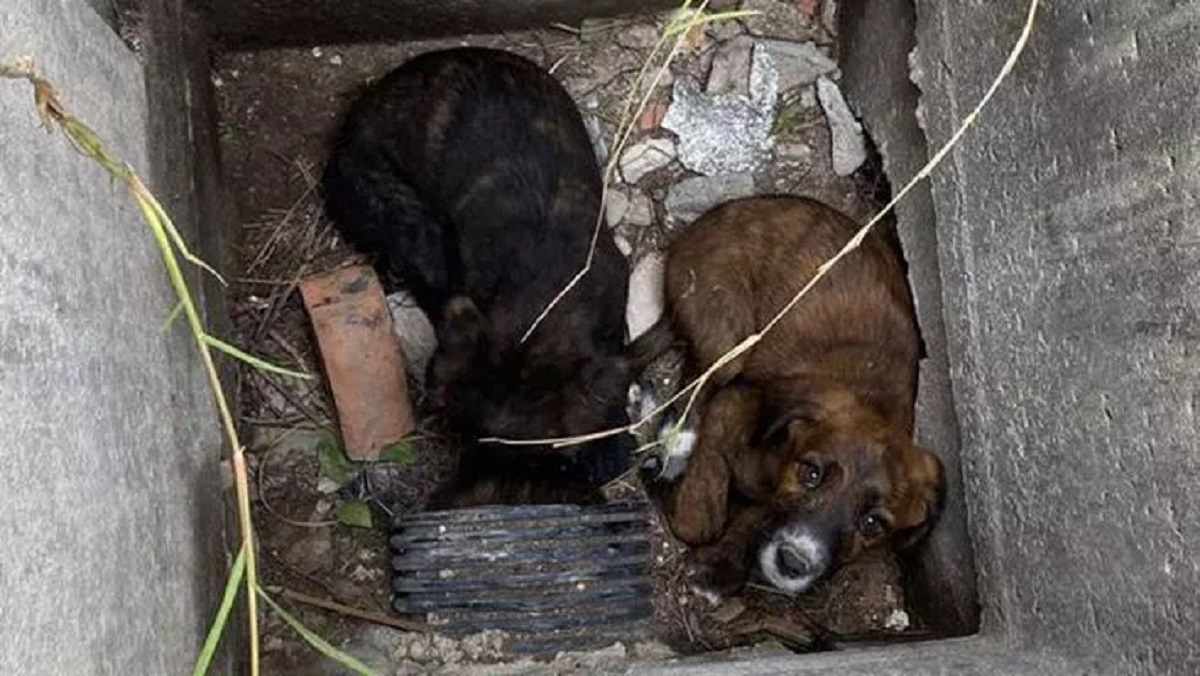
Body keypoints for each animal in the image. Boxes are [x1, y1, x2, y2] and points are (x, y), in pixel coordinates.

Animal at [648, 195, 945, 602]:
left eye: (872, 524)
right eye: (811, 474)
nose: (793, 562)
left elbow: (758, 514)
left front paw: (723, 565)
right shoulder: (732, 405)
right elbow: (701, 516)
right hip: (729, 338)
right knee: (699, 377)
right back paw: (677, 439)